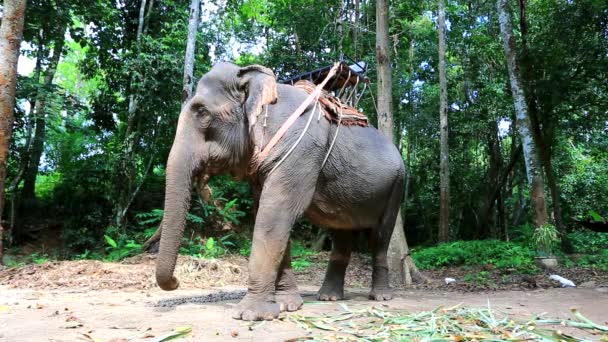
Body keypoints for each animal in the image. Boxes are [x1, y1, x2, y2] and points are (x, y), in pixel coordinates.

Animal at [154, 61, 406, 320]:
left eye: (202, 113)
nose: (175, 282)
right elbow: (270, 214)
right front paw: (287, 305)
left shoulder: (301, 149)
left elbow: (275, 211)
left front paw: (250, 314)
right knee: (341, 235)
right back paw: (328, 297)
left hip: (397, 186)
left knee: (380, 238)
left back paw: (380, 296)